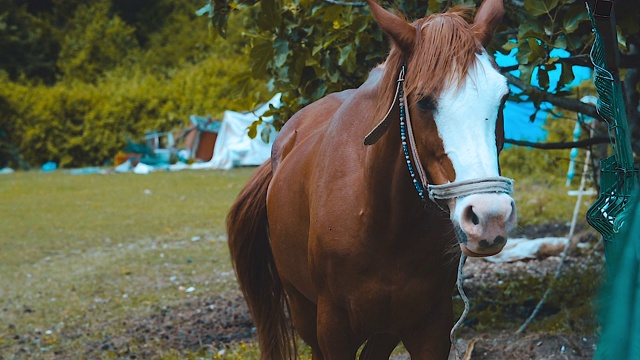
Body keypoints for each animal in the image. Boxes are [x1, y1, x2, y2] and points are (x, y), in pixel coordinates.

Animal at [228, 0, 516, 358]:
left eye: (502, 98)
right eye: (423, 101)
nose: (490, 216)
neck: (384, 222)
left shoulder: (431, 327)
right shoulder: (334, 330)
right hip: (302, 308)